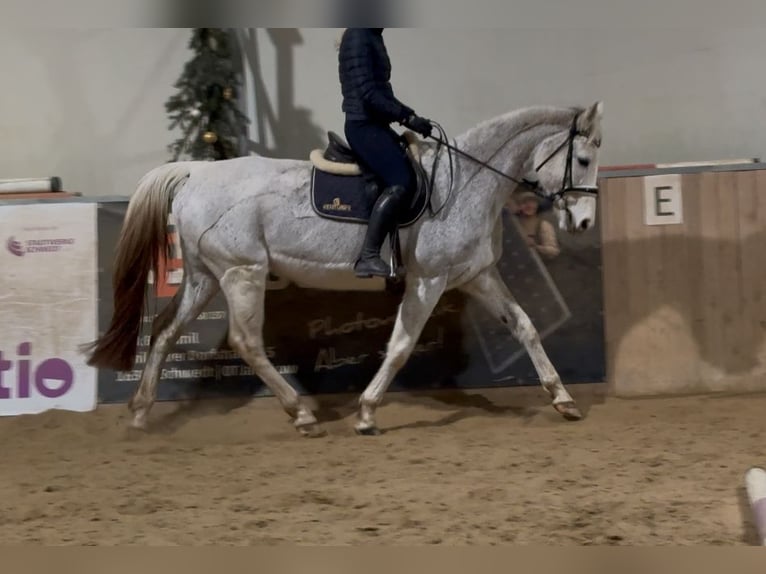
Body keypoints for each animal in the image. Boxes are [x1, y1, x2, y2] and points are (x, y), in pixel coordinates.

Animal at [84, 101, 604, 437]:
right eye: (582, 159)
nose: (582, 222)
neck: (465, 184)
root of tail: (197, 171)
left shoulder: (476, 276)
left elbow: (525, 326)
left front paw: (563, 399)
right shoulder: (428, 280)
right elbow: (401, 346)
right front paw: (368, 412)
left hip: (203, 277)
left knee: (166, 330)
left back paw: (140, 412)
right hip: (241, 273)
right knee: (246, 341)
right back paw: (301, 414)